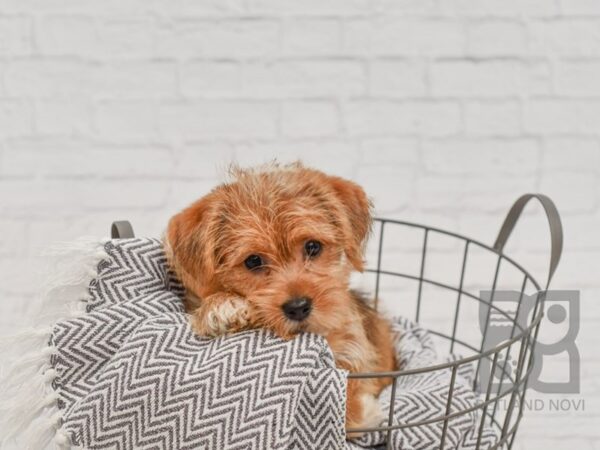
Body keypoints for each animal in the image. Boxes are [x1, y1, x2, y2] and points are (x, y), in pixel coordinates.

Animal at [165, 163, 398, 434]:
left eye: (313, 247)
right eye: (253, 261)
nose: (298, 307)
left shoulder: (353, 352)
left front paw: (361, 410)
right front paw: (222, 307)